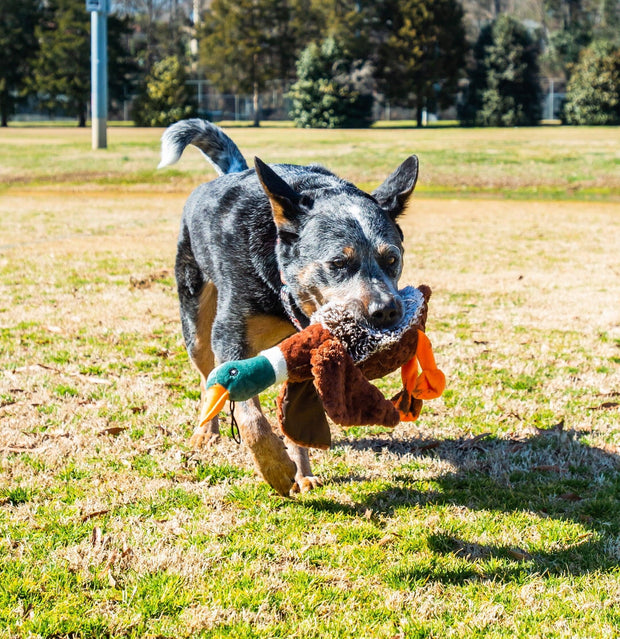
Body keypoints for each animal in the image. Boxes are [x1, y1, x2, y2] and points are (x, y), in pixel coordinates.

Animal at [160, 120, 418, 498]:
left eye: (392, 259)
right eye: (338, 263)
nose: (386, 311)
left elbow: (294, 414)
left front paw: (302, 472)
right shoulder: (230, 336)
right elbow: (249, 414)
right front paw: (276, 469)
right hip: (194, 315)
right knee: (208, 376)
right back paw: (206, 431)